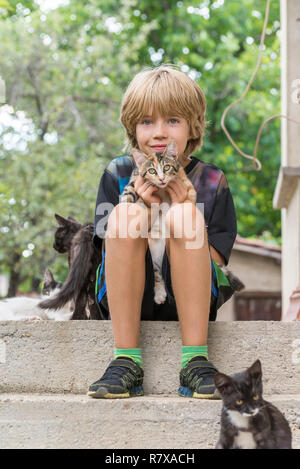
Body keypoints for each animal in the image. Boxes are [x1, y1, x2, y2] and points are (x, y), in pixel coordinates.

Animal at [120, 140, 196, 304]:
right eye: (152, 171)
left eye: (166, 167)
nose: (161, 179)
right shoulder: (136, 176)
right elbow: (129, 190)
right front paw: (125, 203)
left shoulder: (187, 184)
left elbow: (189, 199)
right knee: (156, 273)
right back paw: (160, 292)